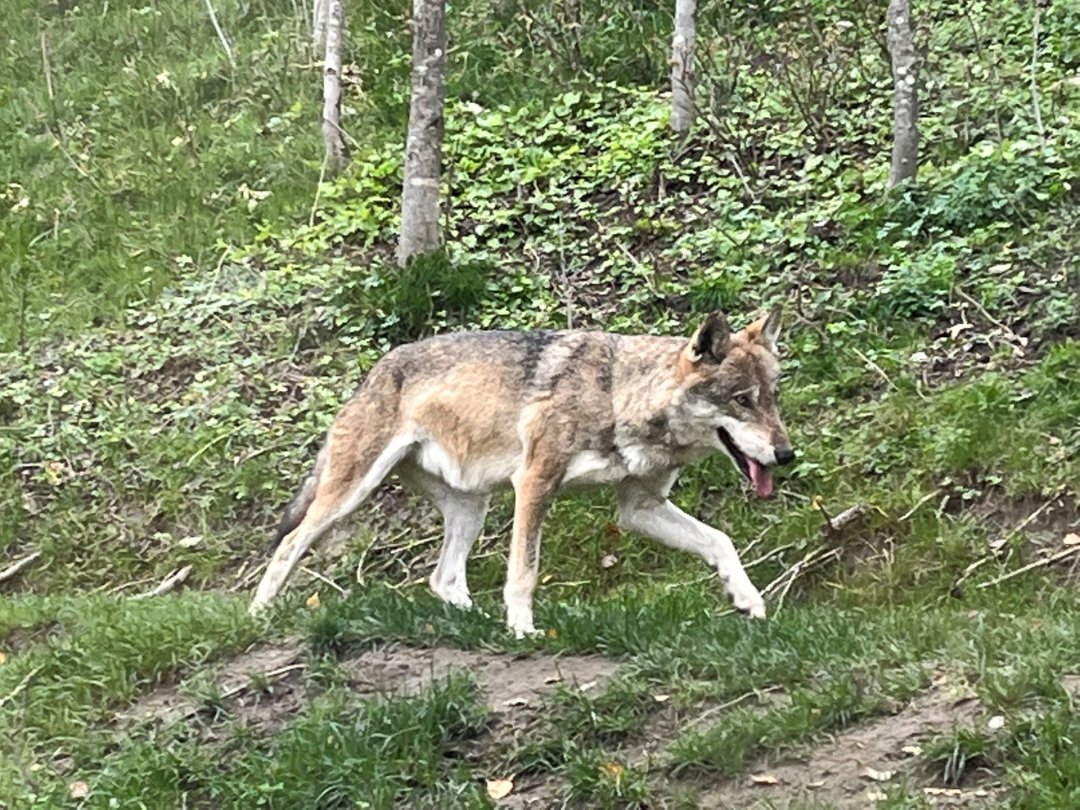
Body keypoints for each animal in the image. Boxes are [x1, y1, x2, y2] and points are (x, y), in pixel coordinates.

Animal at [250, 306, 794, 639]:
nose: (787, 454)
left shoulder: (640, 507)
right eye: (742, 401)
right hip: (349, 496)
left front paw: (748, 599)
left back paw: (477, 623)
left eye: (773, 398)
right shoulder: (534, 483)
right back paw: (258, 615)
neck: (616, 394)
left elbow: (720, 540)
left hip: (472, 507)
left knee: (443, 579)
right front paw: (523, 632)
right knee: (288, 545)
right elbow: (524, 572)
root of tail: (375, 371)